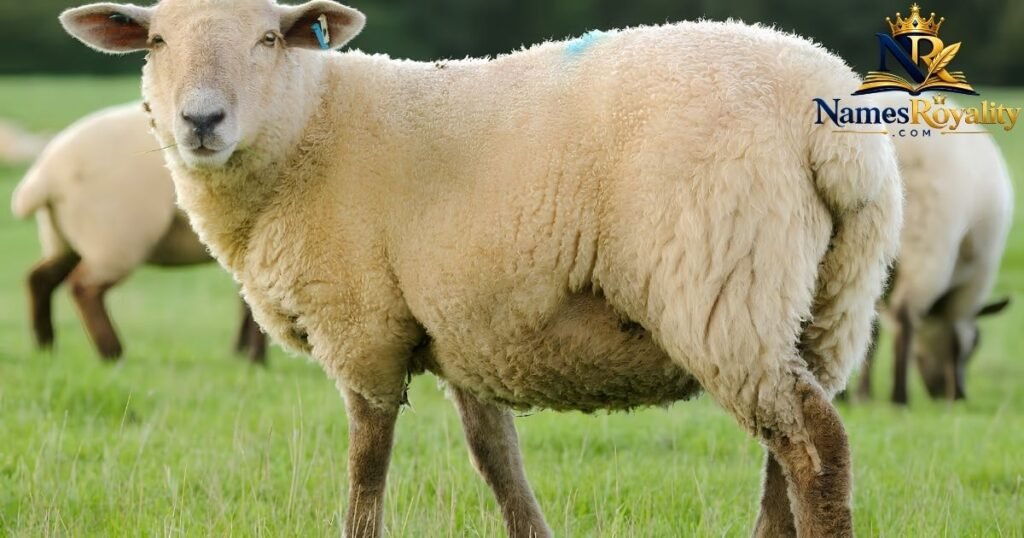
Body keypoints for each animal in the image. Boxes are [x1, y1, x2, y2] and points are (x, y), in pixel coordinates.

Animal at [10, 102, 267, 363]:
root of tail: (46, 174)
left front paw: (244, 354)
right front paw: (255, 359)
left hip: (63, 237)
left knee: (40, 278)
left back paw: (45, 346)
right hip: (116, 237)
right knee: (84, 287)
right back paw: (112, 353)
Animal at [60, 2, 902, 536]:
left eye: (269, 37)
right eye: (155, 41)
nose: (201, 121)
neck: (311, 125)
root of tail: (827, 125)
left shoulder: (361, 327)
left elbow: (367, 471)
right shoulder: (467, 330)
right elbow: (499, 463)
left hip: (724, 288)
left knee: (815, 451)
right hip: (831, 303)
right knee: (784, 458)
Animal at [856, 93, 1012, 405]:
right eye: (975, 345)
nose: (944, 393)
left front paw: (863, 394)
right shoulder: (971, 286)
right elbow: (954, 337)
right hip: (927, 242)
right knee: (905, 317)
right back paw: (899, 397)